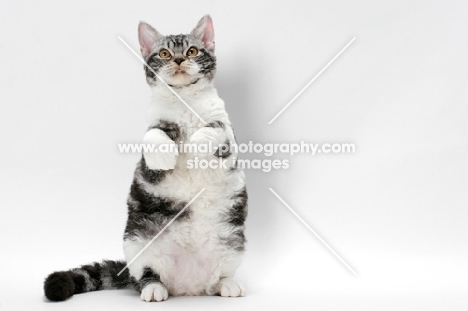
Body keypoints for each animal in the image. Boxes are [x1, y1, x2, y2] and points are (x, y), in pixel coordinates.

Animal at [44, 15, 249, 304]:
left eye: (192, 51)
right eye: (164, 54)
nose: (178, 59)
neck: (184, 102)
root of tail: (188, 287)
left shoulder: (228, 136)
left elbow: (214, 129)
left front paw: (196, 145)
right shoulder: (152, 130)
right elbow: (153, 136)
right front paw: (166, 155)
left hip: (233, 244)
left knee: (219, 277)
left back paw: (227, 284)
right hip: (136, 241)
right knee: (146, 275)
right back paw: (154, 288)